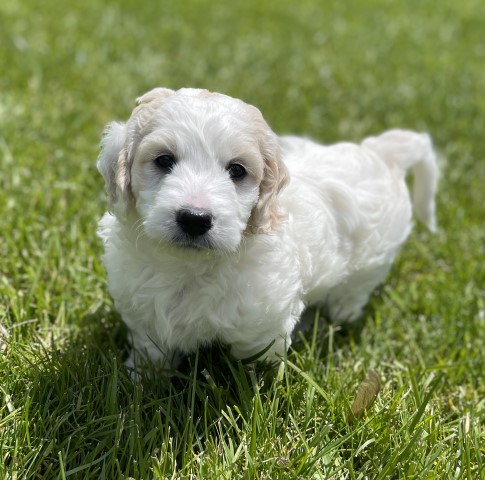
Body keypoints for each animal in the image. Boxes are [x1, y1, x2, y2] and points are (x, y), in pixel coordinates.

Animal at [96, 88, 436, 374]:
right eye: (164, 160)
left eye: (237, 170)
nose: (195, 218)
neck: (190, 266)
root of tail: (380, 152)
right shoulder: (146, 315)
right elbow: (150, 351)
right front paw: (140, 379)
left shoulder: (262, 328)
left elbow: (256, 368)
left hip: (370, 263)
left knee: (354, 292)